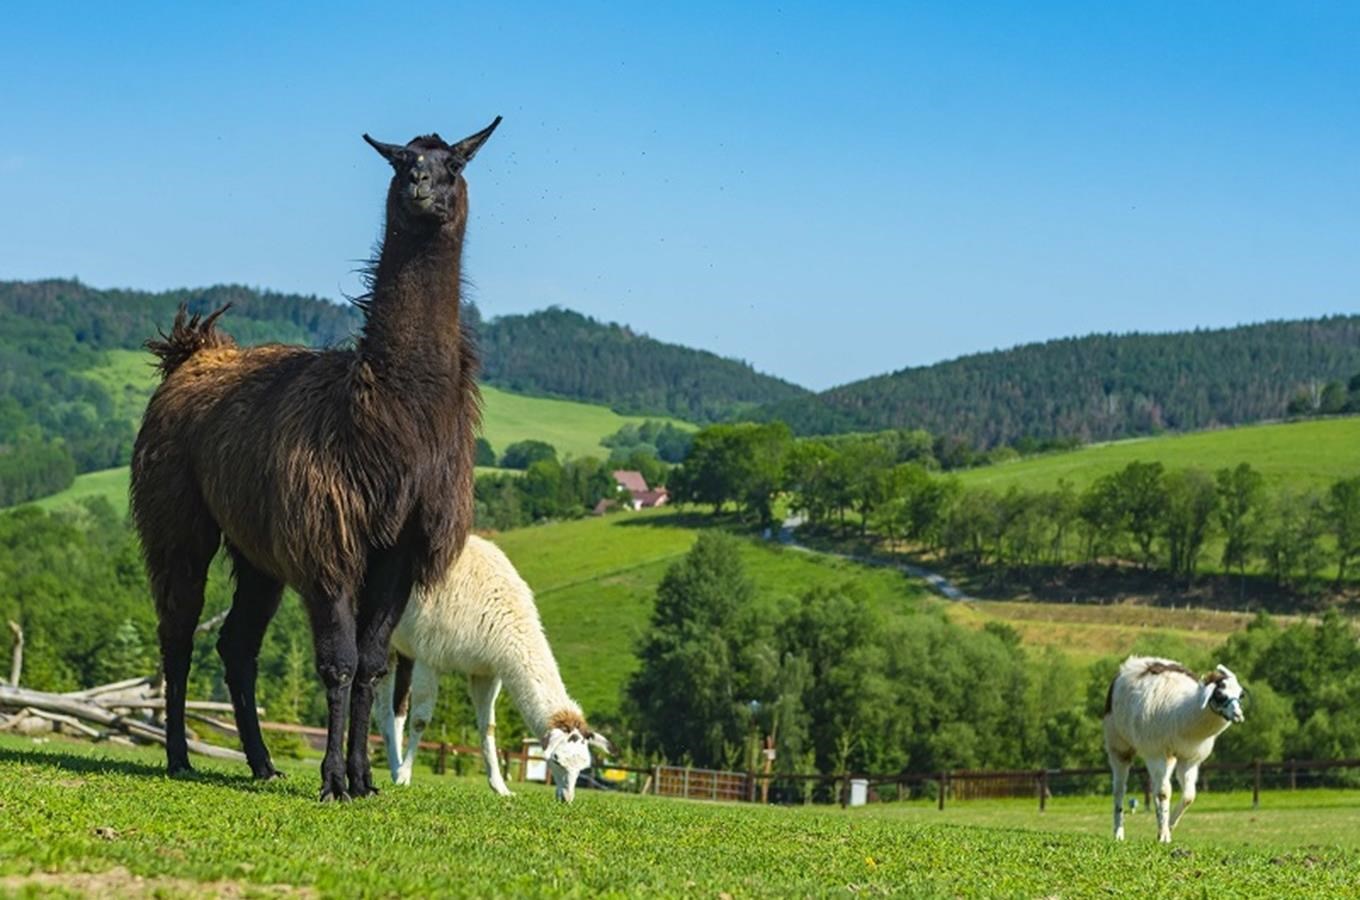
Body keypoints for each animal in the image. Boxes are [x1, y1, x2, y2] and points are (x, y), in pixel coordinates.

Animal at [367, 535, 612, 804]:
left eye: (584, 766)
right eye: (555, 760)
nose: (566, 798)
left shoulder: (485, 670)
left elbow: (488, 728)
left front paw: (500, 787)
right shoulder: (429, 656)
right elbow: (421, 720)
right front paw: (405, 776)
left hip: (399, 647)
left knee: (392, 711)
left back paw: (393, 766)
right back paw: (393, 769)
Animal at [1104, 655, 1245, 848]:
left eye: (1240, 694)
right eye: (1220, 695)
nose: (1238, 715)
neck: (1183, 713)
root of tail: (1135, 662)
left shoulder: (1189, 758)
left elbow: (1188, 796)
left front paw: (1168, 827)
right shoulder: (1157, 752)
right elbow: (1164, 793)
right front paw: (1165, 835)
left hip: (1169, 757)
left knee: (1155, 789)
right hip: (1118, 743)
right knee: (1119, 788)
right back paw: (1118, 833)